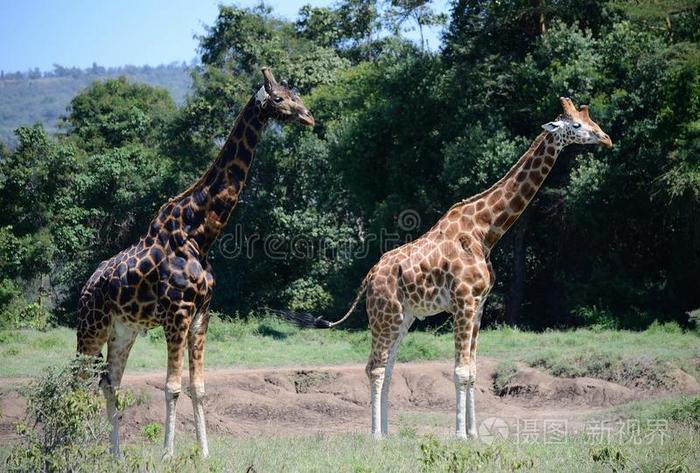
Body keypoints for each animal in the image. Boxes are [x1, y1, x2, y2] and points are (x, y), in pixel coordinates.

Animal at [76, 67, 314, 458]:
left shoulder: (201, 315)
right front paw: (167, 454)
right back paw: (67, 447)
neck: (199, 234)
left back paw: (116, 454)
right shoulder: (178, 312)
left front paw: (204, 452)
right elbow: (172, 385)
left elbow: (197, 386)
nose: (308, 117)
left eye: (296, 94)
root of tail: (86, 287)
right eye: (279, 98)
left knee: (109, 381)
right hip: (90, 327)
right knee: (76, 380)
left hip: (122, 330)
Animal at [276, 97, 608, 438]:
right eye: (577, 125)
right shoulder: (463, 302)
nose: (606, 139)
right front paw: (460, 435)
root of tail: (369, 277)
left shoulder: (479, 305)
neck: (485, 232)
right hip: (384, 315)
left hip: (404, 317)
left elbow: (473, 370)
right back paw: (376, 435)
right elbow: (460, 371)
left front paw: (474, 435)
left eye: (590, 120)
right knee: (375, 367)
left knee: (389, 367)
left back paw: (388, 433)